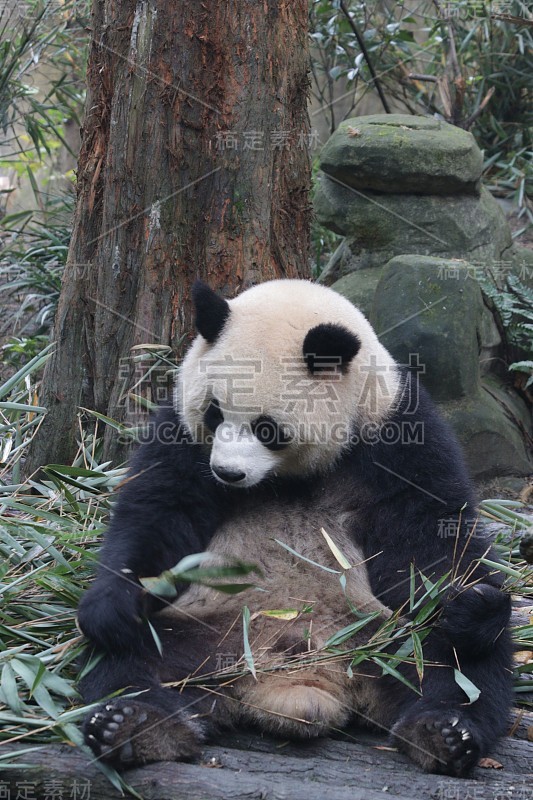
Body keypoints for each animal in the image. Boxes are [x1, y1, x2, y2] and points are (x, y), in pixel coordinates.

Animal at [77, 280, 512, 776]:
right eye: (213, 413)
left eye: (267, 428)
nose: (227, 473)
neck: (286, 475)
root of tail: (295, 683)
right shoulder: (181, 433)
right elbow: (159, 511)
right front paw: (113, 609)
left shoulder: (397, 432)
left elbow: (427, 533)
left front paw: (469, 603)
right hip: (203, 628)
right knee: (129, 664)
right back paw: (136, 725)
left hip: (382, 636)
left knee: (454, 664)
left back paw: (443, 731)